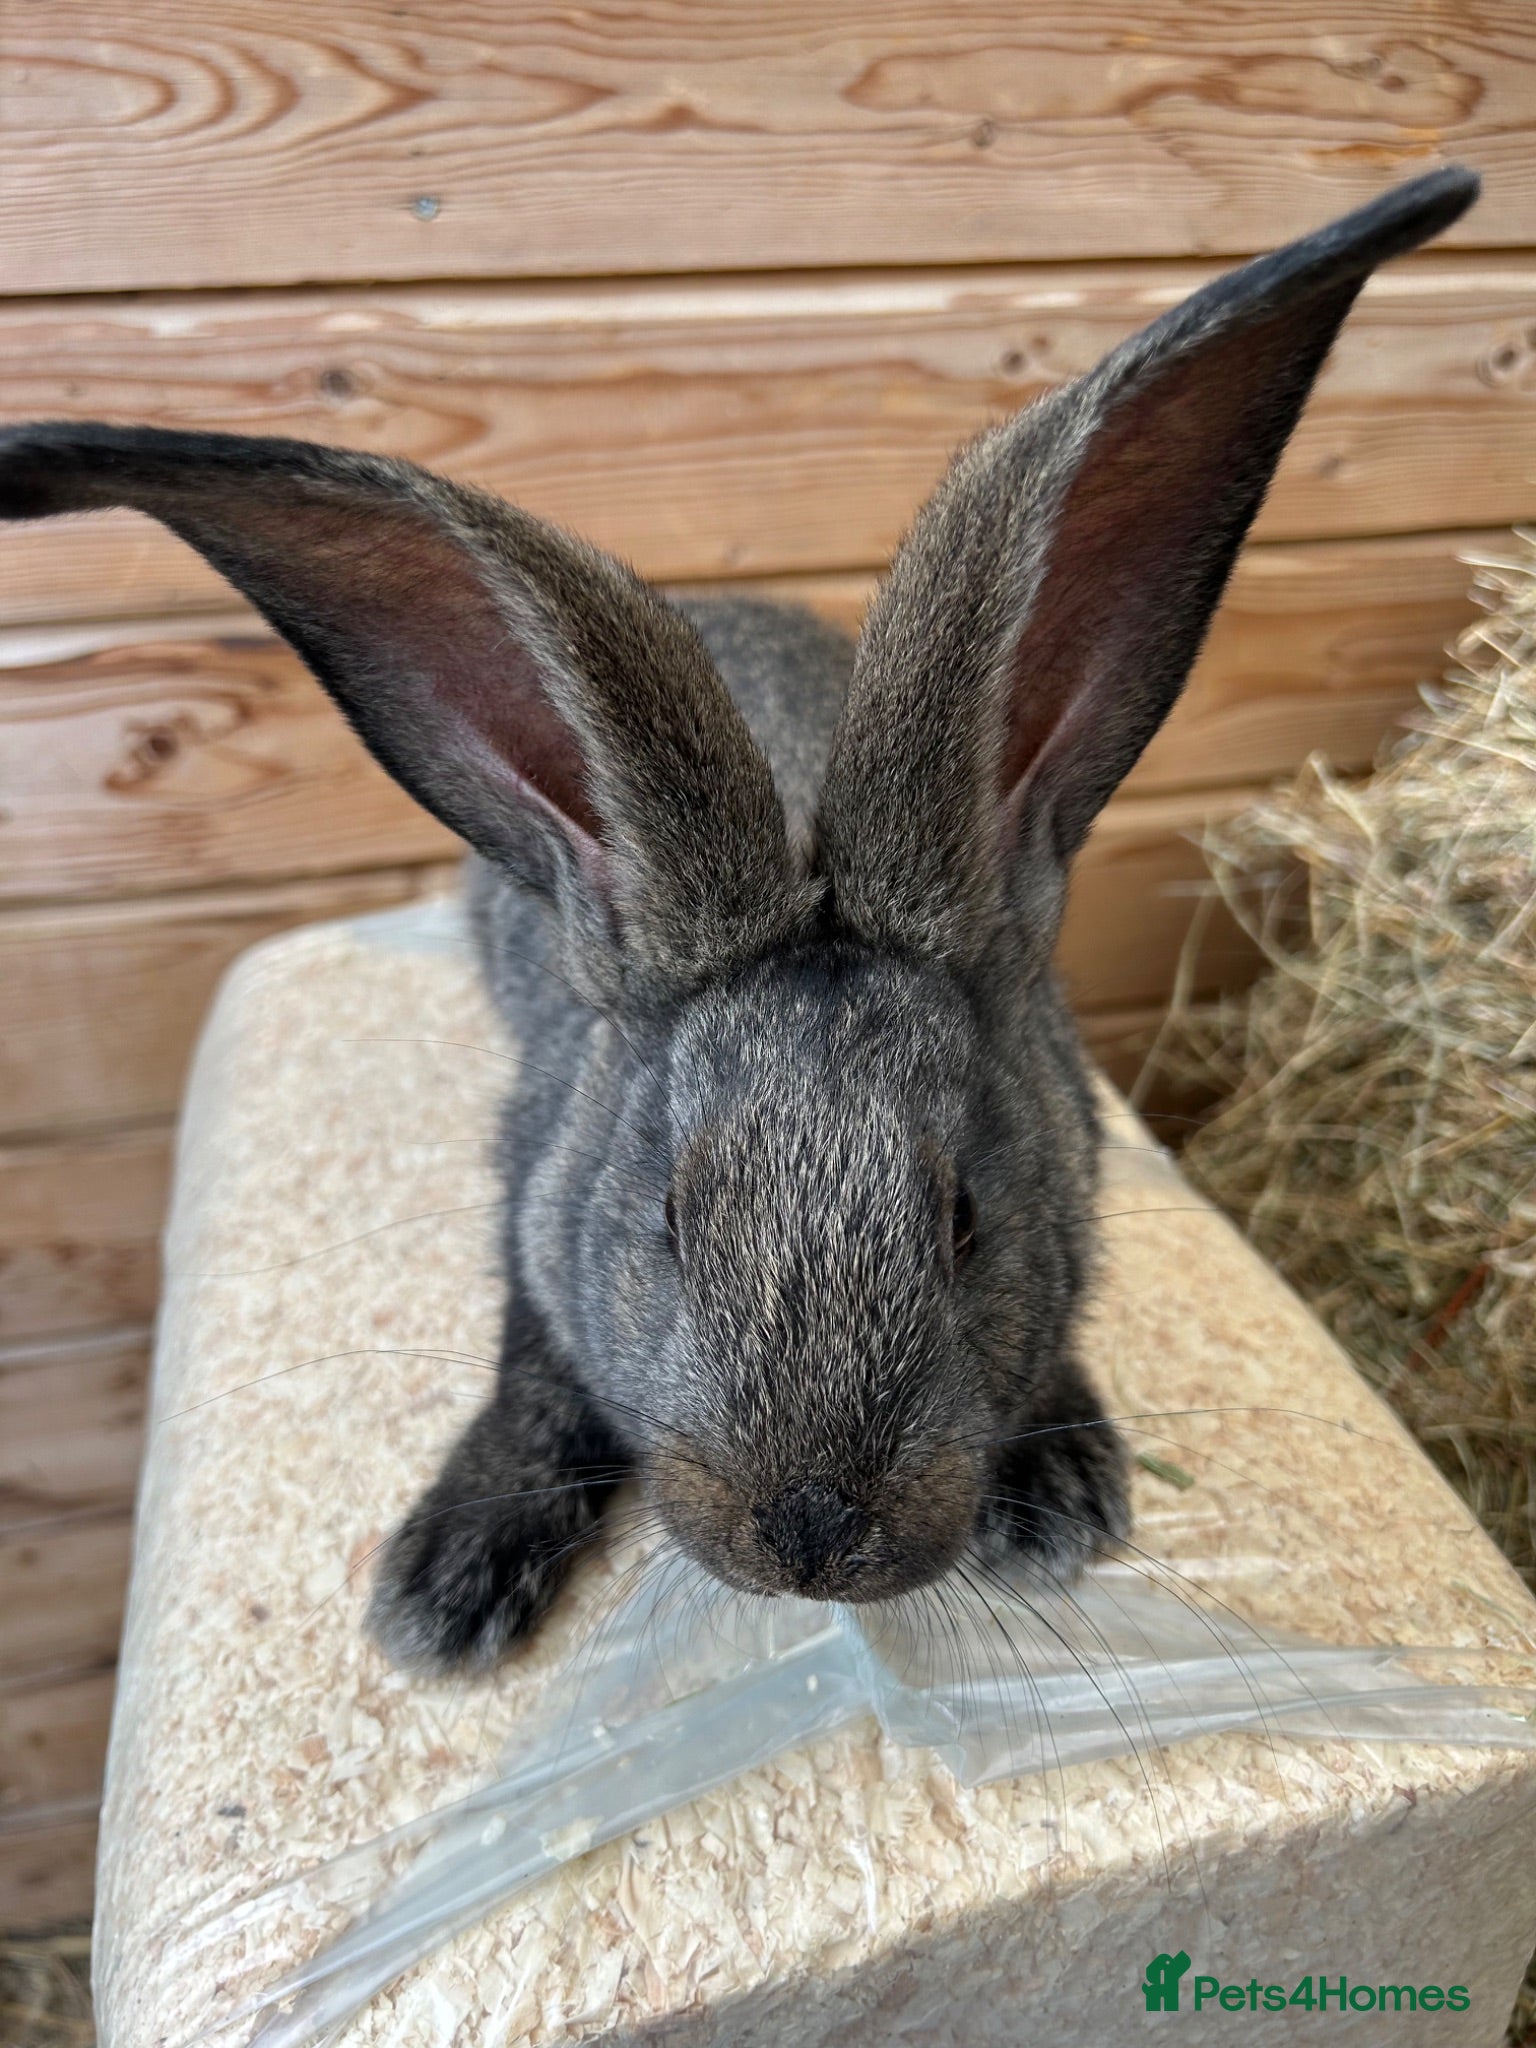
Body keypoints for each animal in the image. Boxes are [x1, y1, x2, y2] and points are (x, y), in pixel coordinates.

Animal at [0, 167, 1478, 1674]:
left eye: (965, 1217)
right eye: (666, 1215)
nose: (813, 1533)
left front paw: (1063, 1486)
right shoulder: (533, 1198)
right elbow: (535, 1372)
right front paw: (448, 1581)